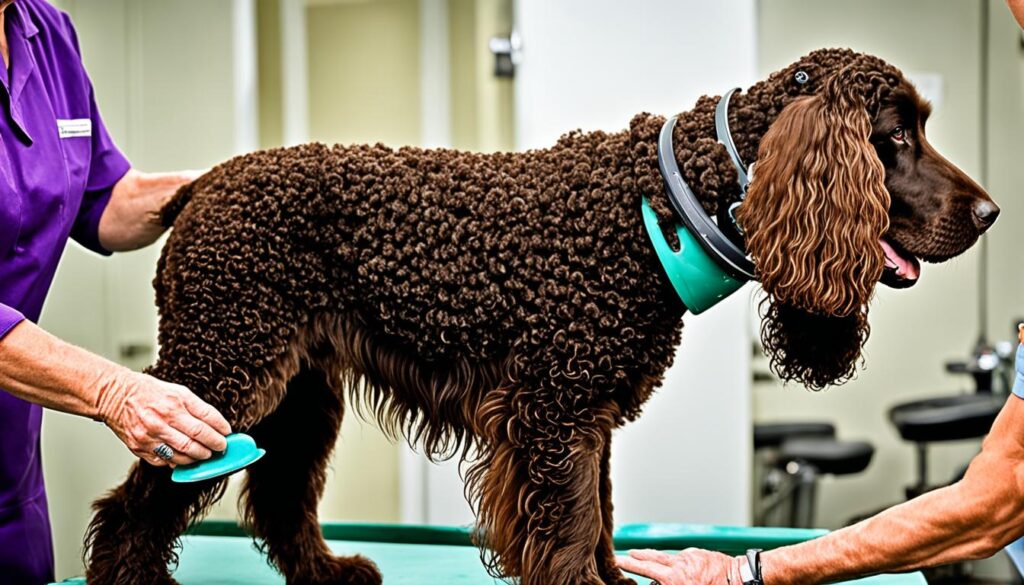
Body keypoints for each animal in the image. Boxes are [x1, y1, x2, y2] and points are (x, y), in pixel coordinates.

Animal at [83, 49, 995, 585]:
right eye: (895, 139)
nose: (990, 214)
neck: (658, 202)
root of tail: (200, 185)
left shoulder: (584, 417)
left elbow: (600, 521)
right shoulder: (554, 413)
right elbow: (571, 528)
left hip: (296, 387)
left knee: (279, 492)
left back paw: (329, 572)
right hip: (222, 366)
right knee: (135, 505)